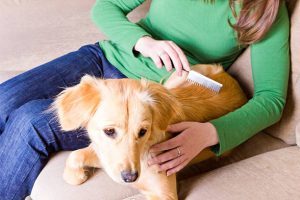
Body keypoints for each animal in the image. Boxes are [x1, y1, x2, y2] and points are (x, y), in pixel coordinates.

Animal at [52, 64, 248, 200]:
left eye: (142, 131)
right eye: (109, 131)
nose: (130, 178)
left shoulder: (165, 194)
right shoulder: (104, 155)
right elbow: (75, 155)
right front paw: (76, 176)